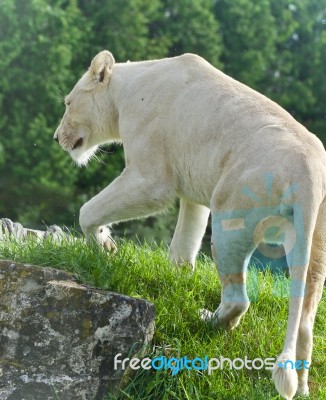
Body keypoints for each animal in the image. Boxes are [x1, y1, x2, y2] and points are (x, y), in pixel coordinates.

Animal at [54, 51, 324, 398]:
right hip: (315, 237)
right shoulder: (192, 187)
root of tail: (309, 174)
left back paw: (207, 319)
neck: (125, 88)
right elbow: (185, 239)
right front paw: (177, 278)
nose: (56, 137)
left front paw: (104, 247)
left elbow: (91, 209)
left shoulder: (151, 176)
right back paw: (302, 387)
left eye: (68, 102)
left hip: (234, 203)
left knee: (238, 298)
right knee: (305, 316)